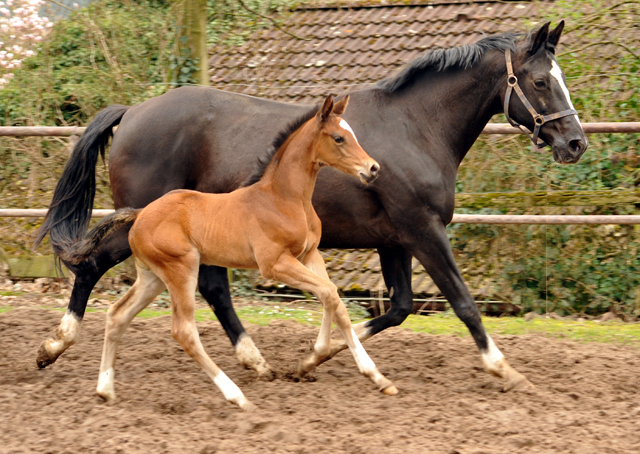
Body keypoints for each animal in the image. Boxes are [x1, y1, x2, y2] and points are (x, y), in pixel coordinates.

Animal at [72, 96, 398, 412]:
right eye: (339, 137)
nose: (372, 168)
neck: (284, 198)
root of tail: (140, 214)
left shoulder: (310, 256)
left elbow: (335, 301)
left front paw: (377, 377)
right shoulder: (275, 264)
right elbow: (329, 293)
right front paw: (315, 355)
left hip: (153, 277)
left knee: (117, 315)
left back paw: (105, 390)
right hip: (181, 269)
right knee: (183, 331)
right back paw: (237, 396)